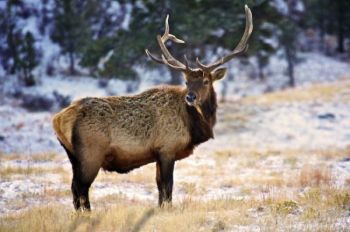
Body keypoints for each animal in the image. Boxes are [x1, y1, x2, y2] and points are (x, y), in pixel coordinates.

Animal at [52, 5, 252, 210]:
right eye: (186, 81)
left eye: (205, 81)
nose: (190, 96)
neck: (192, 126)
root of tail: (58, 119)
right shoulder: (167, 148)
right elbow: (167, 186)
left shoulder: (157, 154)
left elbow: (159, 187)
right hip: (90, 153)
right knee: (80, 188)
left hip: (73, 155)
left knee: (75, 188)